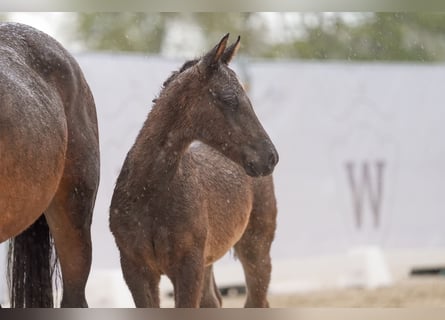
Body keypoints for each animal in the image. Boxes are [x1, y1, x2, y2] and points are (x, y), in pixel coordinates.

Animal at [110, 33, 278, 308]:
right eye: (229, 99)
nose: (271, 157)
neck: (149, 193)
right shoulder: (135, 268)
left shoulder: (188, 267)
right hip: (210, 261)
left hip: (256, 248)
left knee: (256, 300)